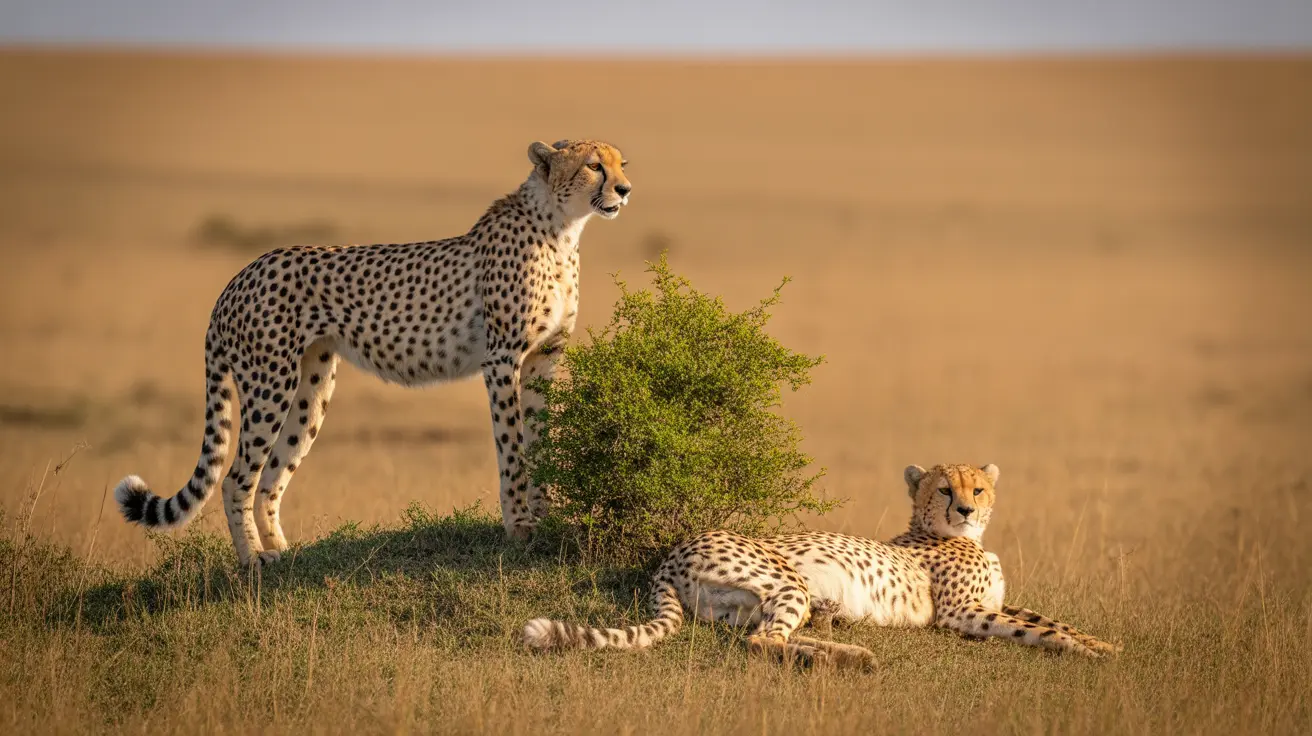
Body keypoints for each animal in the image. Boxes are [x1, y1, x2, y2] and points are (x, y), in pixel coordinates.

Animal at [113, 139, 632, 567]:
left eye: (621, 164)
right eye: (594, 165)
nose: (625, 189)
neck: (561, 230)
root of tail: (240, 275)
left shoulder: (545, 357)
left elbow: (540, 440)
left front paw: (545, 517)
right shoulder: (503, 359)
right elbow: (512, 447)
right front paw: (519, 525)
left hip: (312, 388)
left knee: (272, 476)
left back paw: (286, 554)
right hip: (270, 383)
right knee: (237, 476)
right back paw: (253, 560)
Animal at [523, 463, 1120, 669]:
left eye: (977, 488)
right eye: (944, 489)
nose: (967, 510)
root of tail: (670, 555)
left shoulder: (992, 601)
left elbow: (1048, 618)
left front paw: (1102, 643)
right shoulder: (959, 614)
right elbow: (1036, 630)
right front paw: (1091, 652)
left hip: (748, 604)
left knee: (768, 636)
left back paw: (848, 649)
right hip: (787, 580)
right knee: (763, 643)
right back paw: (852, 658)